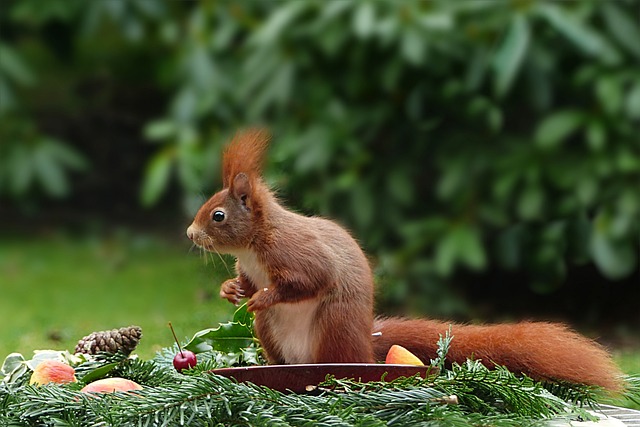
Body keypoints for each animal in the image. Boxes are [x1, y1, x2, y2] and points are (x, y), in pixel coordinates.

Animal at [188, 130, 624, 392]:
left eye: (218, 216)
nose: (190, 234)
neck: (251, 247)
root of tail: (366, 347)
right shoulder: (251, 266)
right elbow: (246, 282)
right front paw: (232, 289)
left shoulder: (296, 251)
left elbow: (310, 279)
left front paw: (264, 296)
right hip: (269, 334)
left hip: (334, 326)